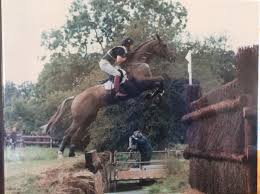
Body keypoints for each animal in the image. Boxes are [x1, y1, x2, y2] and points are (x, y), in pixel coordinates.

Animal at [45, 34, 177, 158]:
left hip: (89, 118)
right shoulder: (141, 84)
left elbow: (159, 82)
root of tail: (76, 97)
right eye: (164, 45)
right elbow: (160, 79)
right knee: (68, 132)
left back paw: (72, 154)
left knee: (78, 133)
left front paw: (154, 96)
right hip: (79, 118)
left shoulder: (146, 83)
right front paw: (154, 96)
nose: (173, 57)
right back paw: (61, 154)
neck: (138, 62)